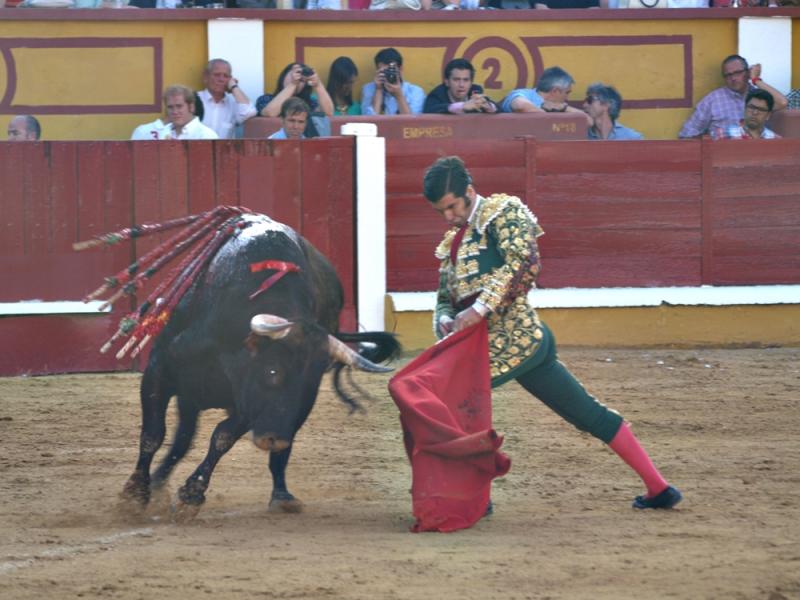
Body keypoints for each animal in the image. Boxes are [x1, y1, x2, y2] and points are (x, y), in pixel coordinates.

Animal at [119, 213, 400, 516]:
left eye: (312, 383)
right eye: (272, 371)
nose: (273, 438)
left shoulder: (248, 403)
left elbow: (221, 438)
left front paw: (191, 494)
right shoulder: (159, 373)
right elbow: (153, 435)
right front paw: (135, 493)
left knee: (272, 456)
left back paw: (282, 495)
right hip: (189, 396)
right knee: (181, 439)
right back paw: (157, 483)